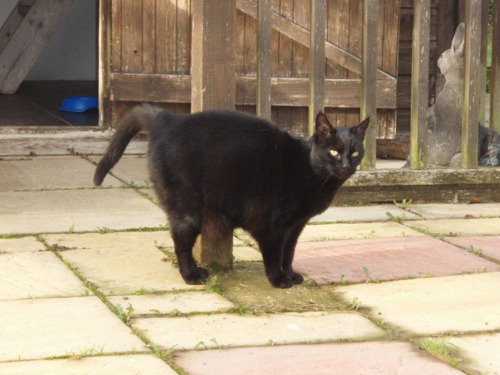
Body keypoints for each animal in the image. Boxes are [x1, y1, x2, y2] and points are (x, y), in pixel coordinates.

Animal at [94, 106, 368, 288]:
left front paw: (290, 274)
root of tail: (167, 119)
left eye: (355, 153)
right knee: (181, 245)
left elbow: (289, 252)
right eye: (334, 152)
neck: (309, 169)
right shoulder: (270, 224)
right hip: (188, 210)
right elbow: (274, 253)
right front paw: (278, 279)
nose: (346, 166)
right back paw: (192, 276)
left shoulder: (295, 225)